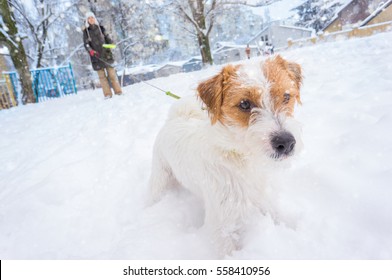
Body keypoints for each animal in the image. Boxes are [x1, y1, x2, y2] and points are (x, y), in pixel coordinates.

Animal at [149, 54, 304, 256]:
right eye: (244, 104)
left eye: (286, 96)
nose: (286, 143)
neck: (242, 159)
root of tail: (175, 118)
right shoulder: (222, 225)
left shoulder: (263, 200)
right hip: (159, 180)